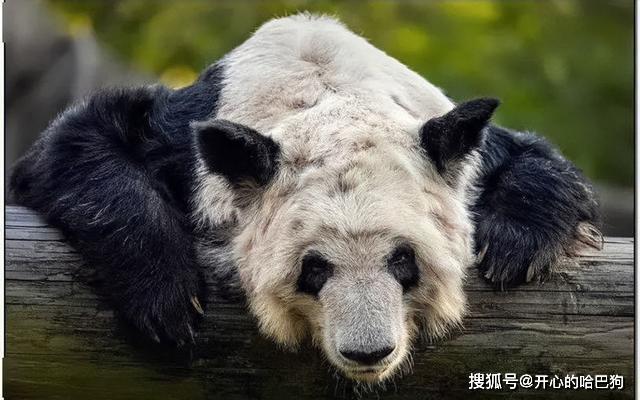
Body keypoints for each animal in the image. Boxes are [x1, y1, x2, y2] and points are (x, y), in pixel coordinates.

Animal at [10, 14, 601, 382]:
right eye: (314, 269)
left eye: (403, 261)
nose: (369, 352)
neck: (325, 86)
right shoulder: (184, 140)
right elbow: (75, 147)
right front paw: (168, 298)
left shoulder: (449, 129)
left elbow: (537, 162)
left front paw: (514, 246)